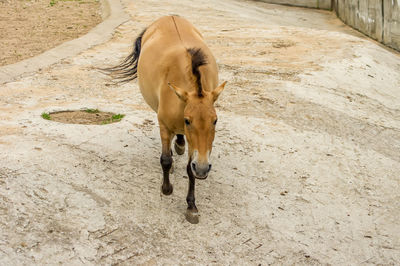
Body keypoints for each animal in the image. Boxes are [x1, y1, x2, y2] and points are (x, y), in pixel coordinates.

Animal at [104, 15, 227, 223]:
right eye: (188, 120)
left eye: (215, 121)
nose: (203, 168)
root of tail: (169, 16)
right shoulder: (164, 125)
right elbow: (166, 159)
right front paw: (167, 188)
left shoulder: (195, 146)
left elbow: (189, 170)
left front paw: (191, 206)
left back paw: (179, 144)